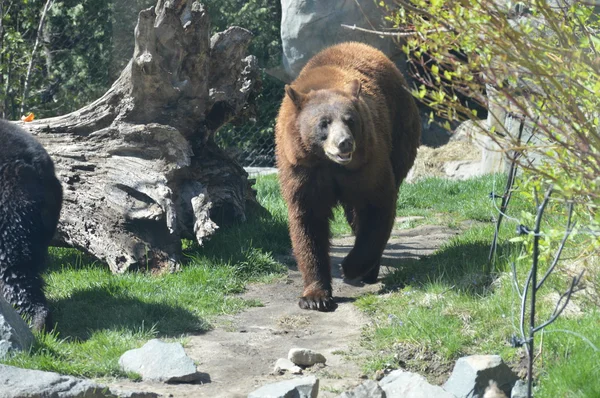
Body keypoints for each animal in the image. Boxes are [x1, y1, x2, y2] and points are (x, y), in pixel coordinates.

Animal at [276, 42, 422, 312]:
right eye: (323, 123)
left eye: (350, 120)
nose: (344, 143)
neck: (329, 164)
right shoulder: (302, 170)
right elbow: (308, 222)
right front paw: (315, 296)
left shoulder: (367, 163)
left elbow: (377, 205)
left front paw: (351, 267)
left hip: (401, 133)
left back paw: (368, 271)